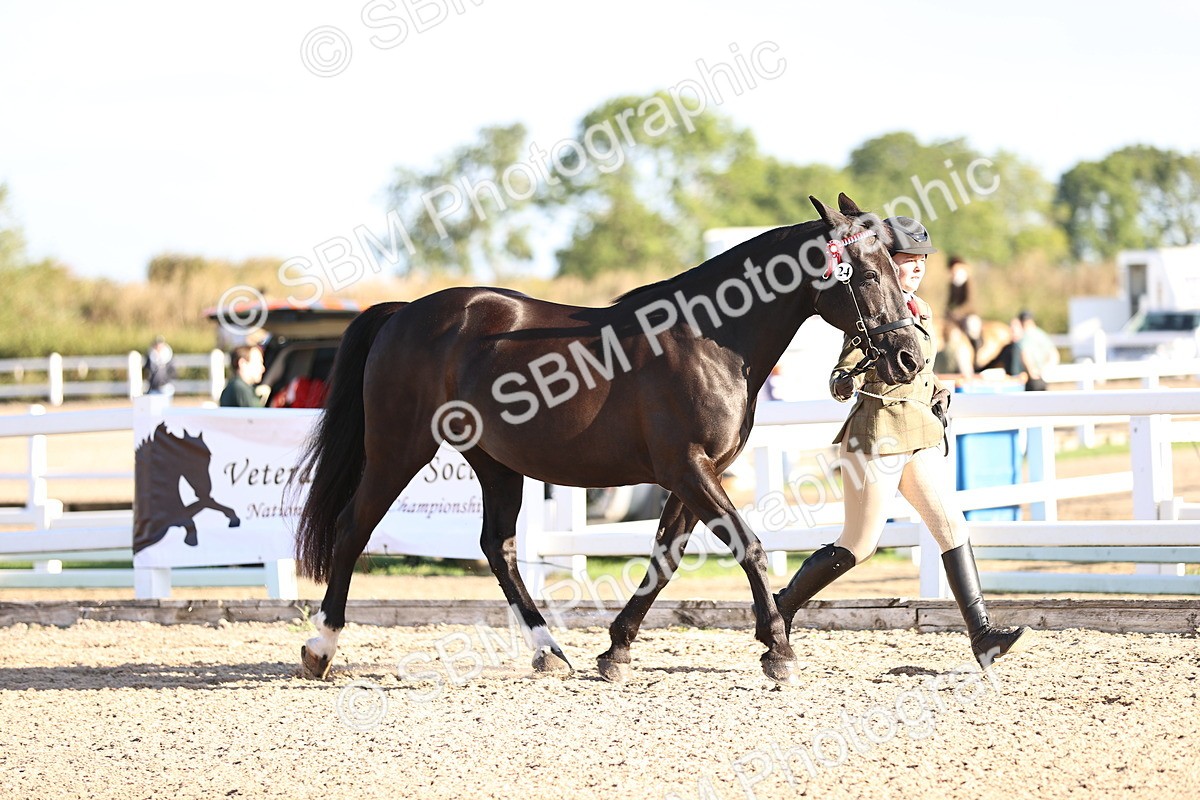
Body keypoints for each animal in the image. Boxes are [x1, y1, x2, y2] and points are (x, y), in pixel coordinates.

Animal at [293, 194, 925, 685]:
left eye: (896, 272)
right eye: (869, 274)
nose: (908, 358)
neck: (709, 340)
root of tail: (403, 313)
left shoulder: (694, 475)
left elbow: (665, 559)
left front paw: (617, 648)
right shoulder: (686, 468)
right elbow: (748, 547)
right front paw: (779, 649)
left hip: (496, 462)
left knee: (499, 547)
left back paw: (549, 651)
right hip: (399, 449)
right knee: (353, 528)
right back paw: (320, 648)